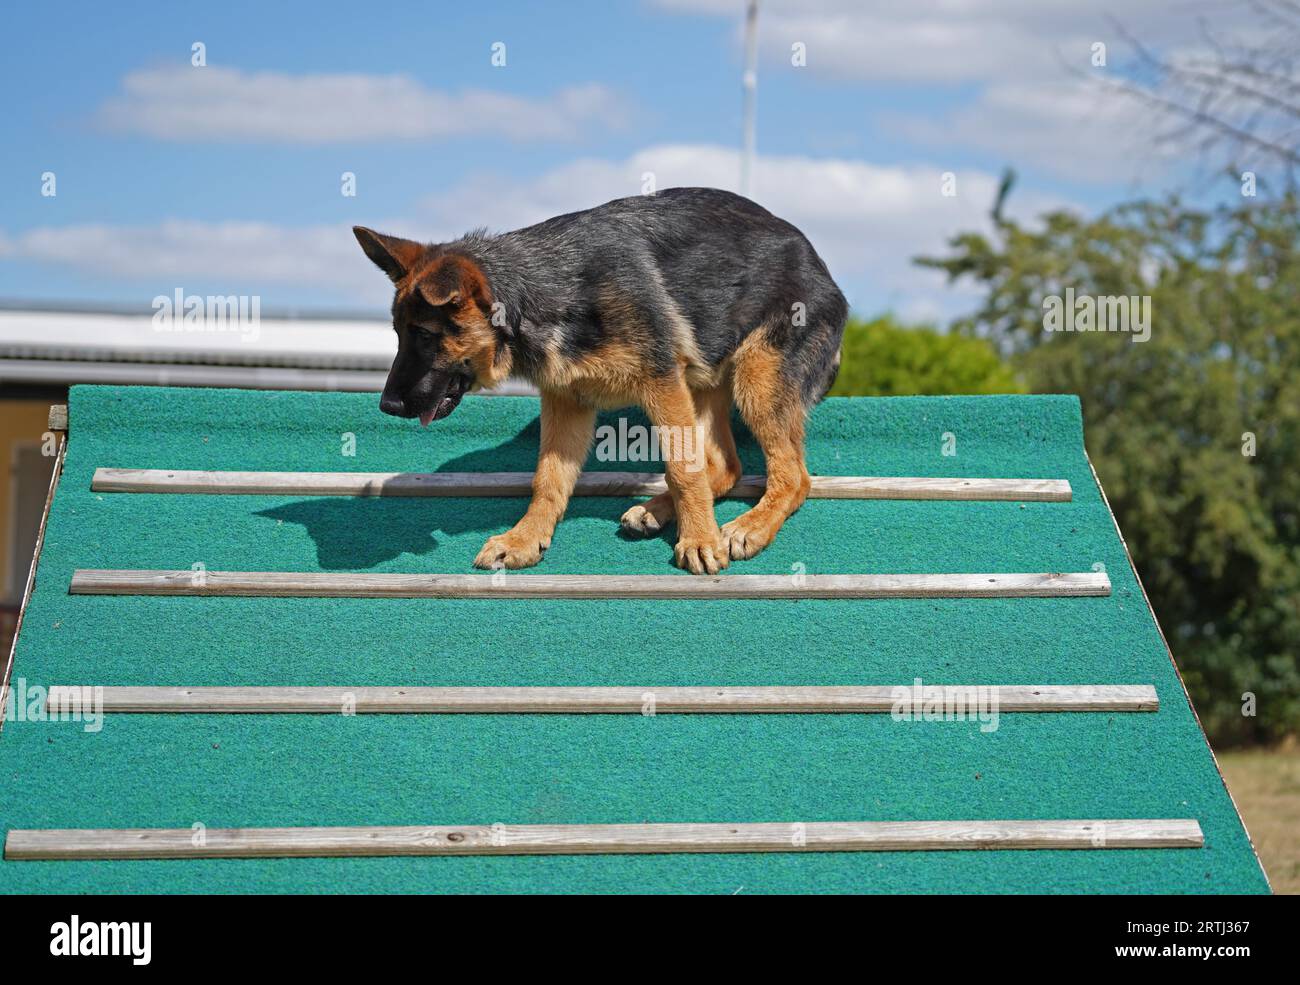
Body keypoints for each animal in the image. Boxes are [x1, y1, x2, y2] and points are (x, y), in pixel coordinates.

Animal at [351, 188, 847, 574]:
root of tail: (822, 268)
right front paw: (524, 539)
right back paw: (657, 510)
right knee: (726, 466)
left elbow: (682, 468)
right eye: (398, 334)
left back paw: (748, 527)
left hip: (756, 377)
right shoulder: (566, 403)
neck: (549, 291)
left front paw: (699, 541)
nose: (387, 406)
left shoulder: (662, 383)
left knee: (792, 476)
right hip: (705, 380)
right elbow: (548, 479)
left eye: (424, 336)